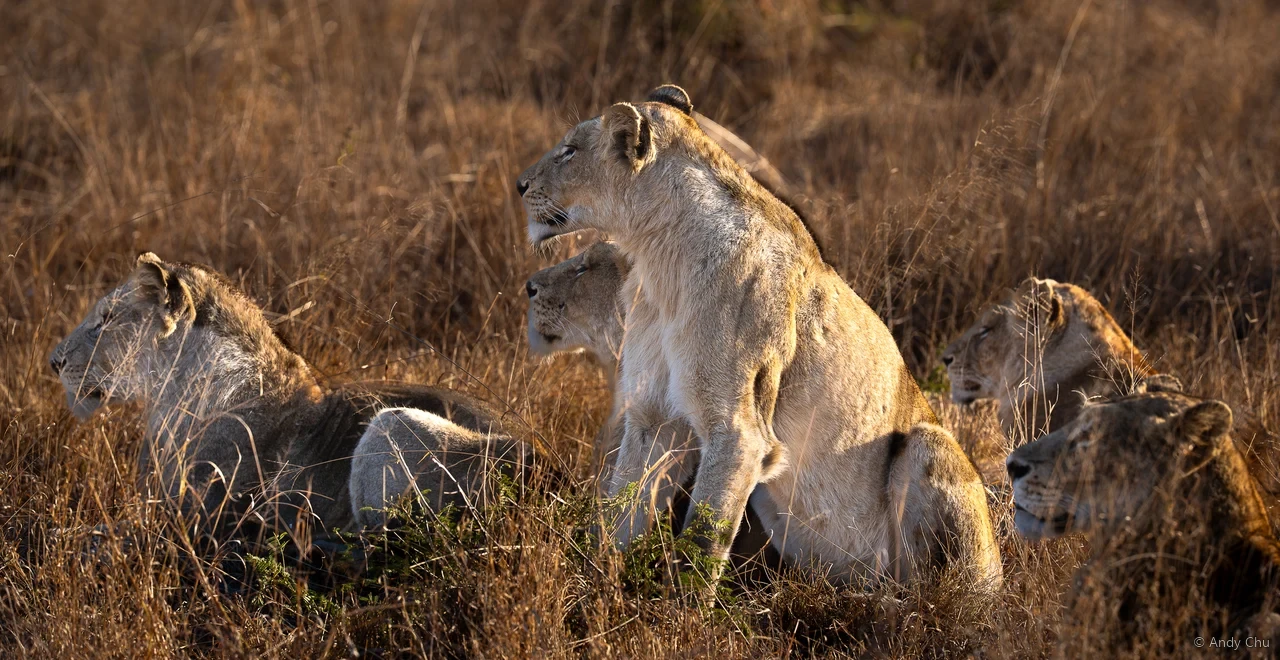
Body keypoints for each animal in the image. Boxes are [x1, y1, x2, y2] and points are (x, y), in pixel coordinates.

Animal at [516, 85, 1001, 588]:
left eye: (570, 150)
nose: (519, 185)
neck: (661, 262)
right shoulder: (652, 415)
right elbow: (619, 510)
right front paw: (597, 585)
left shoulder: (738, 432)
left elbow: (700, 542)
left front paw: (678, 607)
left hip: (930, 445)